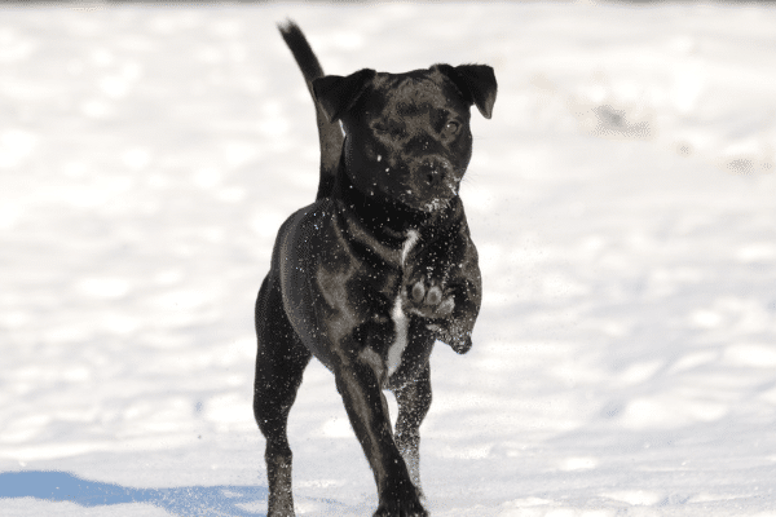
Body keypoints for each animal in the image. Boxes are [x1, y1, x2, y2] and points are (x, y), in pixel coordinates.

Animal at [255, 20, 498, 516]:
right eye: (384, 128)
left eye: (451, 122)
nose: (433, 169)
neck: (403, 233)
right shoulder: (354, 363)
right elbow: (378, 440)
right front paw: (400, 501)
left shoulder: (466, 299)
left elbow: (461, 319)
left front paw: (435, 299)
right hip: (275, 367)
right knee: (279, 445)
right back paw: (282, 507)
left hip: (416, 380)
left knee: (410, 428)